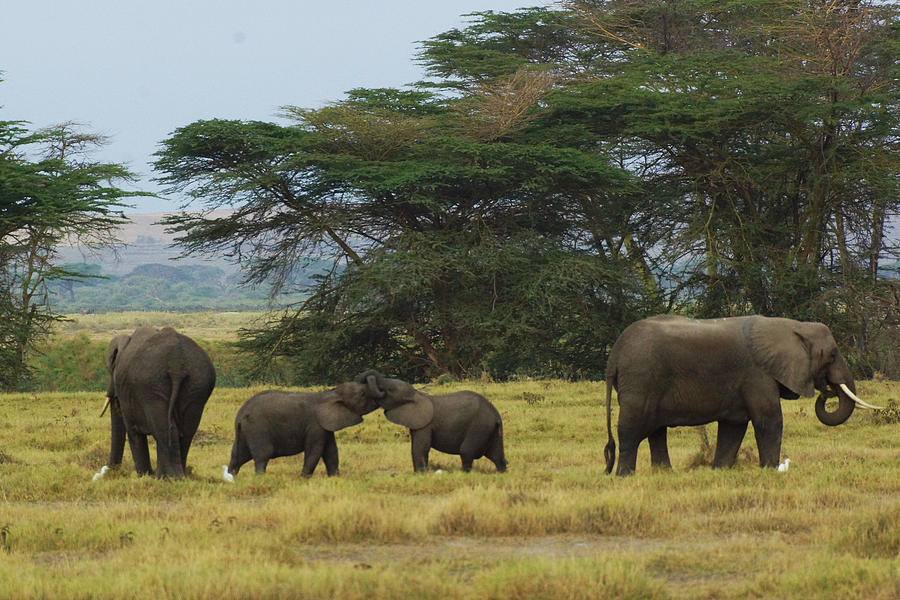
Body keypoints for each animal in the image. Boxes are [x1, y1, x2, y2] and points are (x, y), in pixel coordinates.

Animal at [225, 384, 380, 478]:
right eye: (362, 394)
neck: (332, 393)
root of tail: (240, 416)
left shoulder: (325, 426)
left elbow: (331, 451)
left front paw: (335, 478)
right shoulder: (315, 425)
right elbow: (315, 451)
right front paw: (303, 479)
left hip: (245, 432)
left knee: (237, 457)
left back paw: (230, 478)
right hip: (257, 428)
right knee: (262, 455)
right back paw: (260, 478)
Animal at [358, 370, 506, 474]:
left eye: (389, 390)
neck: (417, 394)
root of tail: (496, 415)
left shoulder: (425, 425)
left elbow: (420, 448)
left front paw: (419, 475)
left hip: (479, 426)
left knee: (466, 452)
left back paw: (464, 474)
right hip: (490, 429)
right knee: (496, 455)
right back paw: (502, 472)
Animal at [604, 314, 880, 478]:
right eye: (832, 355)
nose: (826, 391)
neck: (791, 326)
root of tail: (614, 355)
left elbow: (733, 427)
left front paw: (719, 472)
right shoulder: (757, 374)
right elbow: (769, 420)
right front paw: (771, 471)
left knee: (656, 430)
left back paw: (665, 474)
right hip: (640, 378)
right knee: (632, 427)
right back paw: (624, 476)